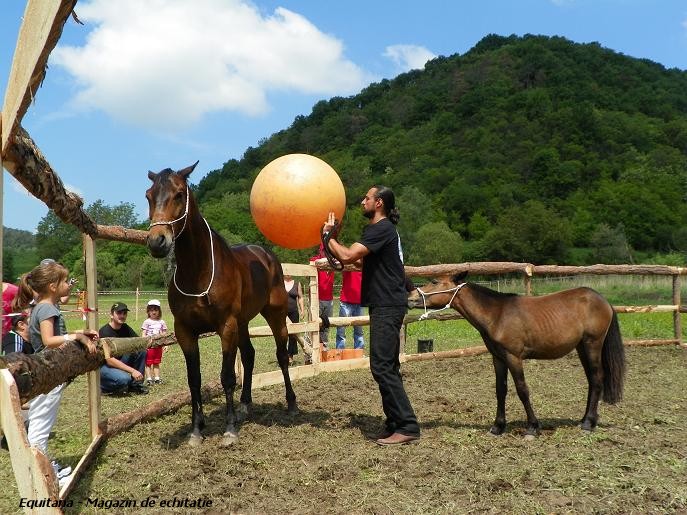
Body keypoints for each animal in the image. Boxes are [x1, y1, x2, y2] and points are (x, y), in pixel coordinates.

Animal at [145, 162, 296, 448]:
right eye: (148, 195)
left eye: (179, 194)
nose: (157, 242)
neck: (199, 273)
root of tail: (267, 255)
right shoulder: (185, 331)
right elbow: (194, 380)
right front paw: (196, 430)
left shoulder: (226, 326)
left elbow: (227, 377)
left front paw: (229, 429)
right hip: (244, 323)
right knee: (249, 356)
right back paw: (245, 405)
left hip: (275, 315)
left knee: (282, 355)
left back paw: (292, 403)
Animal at [408, 272, 628, 438]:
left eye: (434, 281)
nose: (410, 298)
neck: (497, 314)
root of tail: (603, 300)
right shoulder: (498, 358)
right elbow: (501, 390)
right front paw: (498, 427)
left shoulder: (513, 357)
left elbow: (522, 390)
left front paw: (532, 427)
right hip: (582, 347)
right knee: (592, 380)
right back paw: (586, 419)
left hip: (592, 344)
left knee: (597, 378)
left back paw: (588, 423)